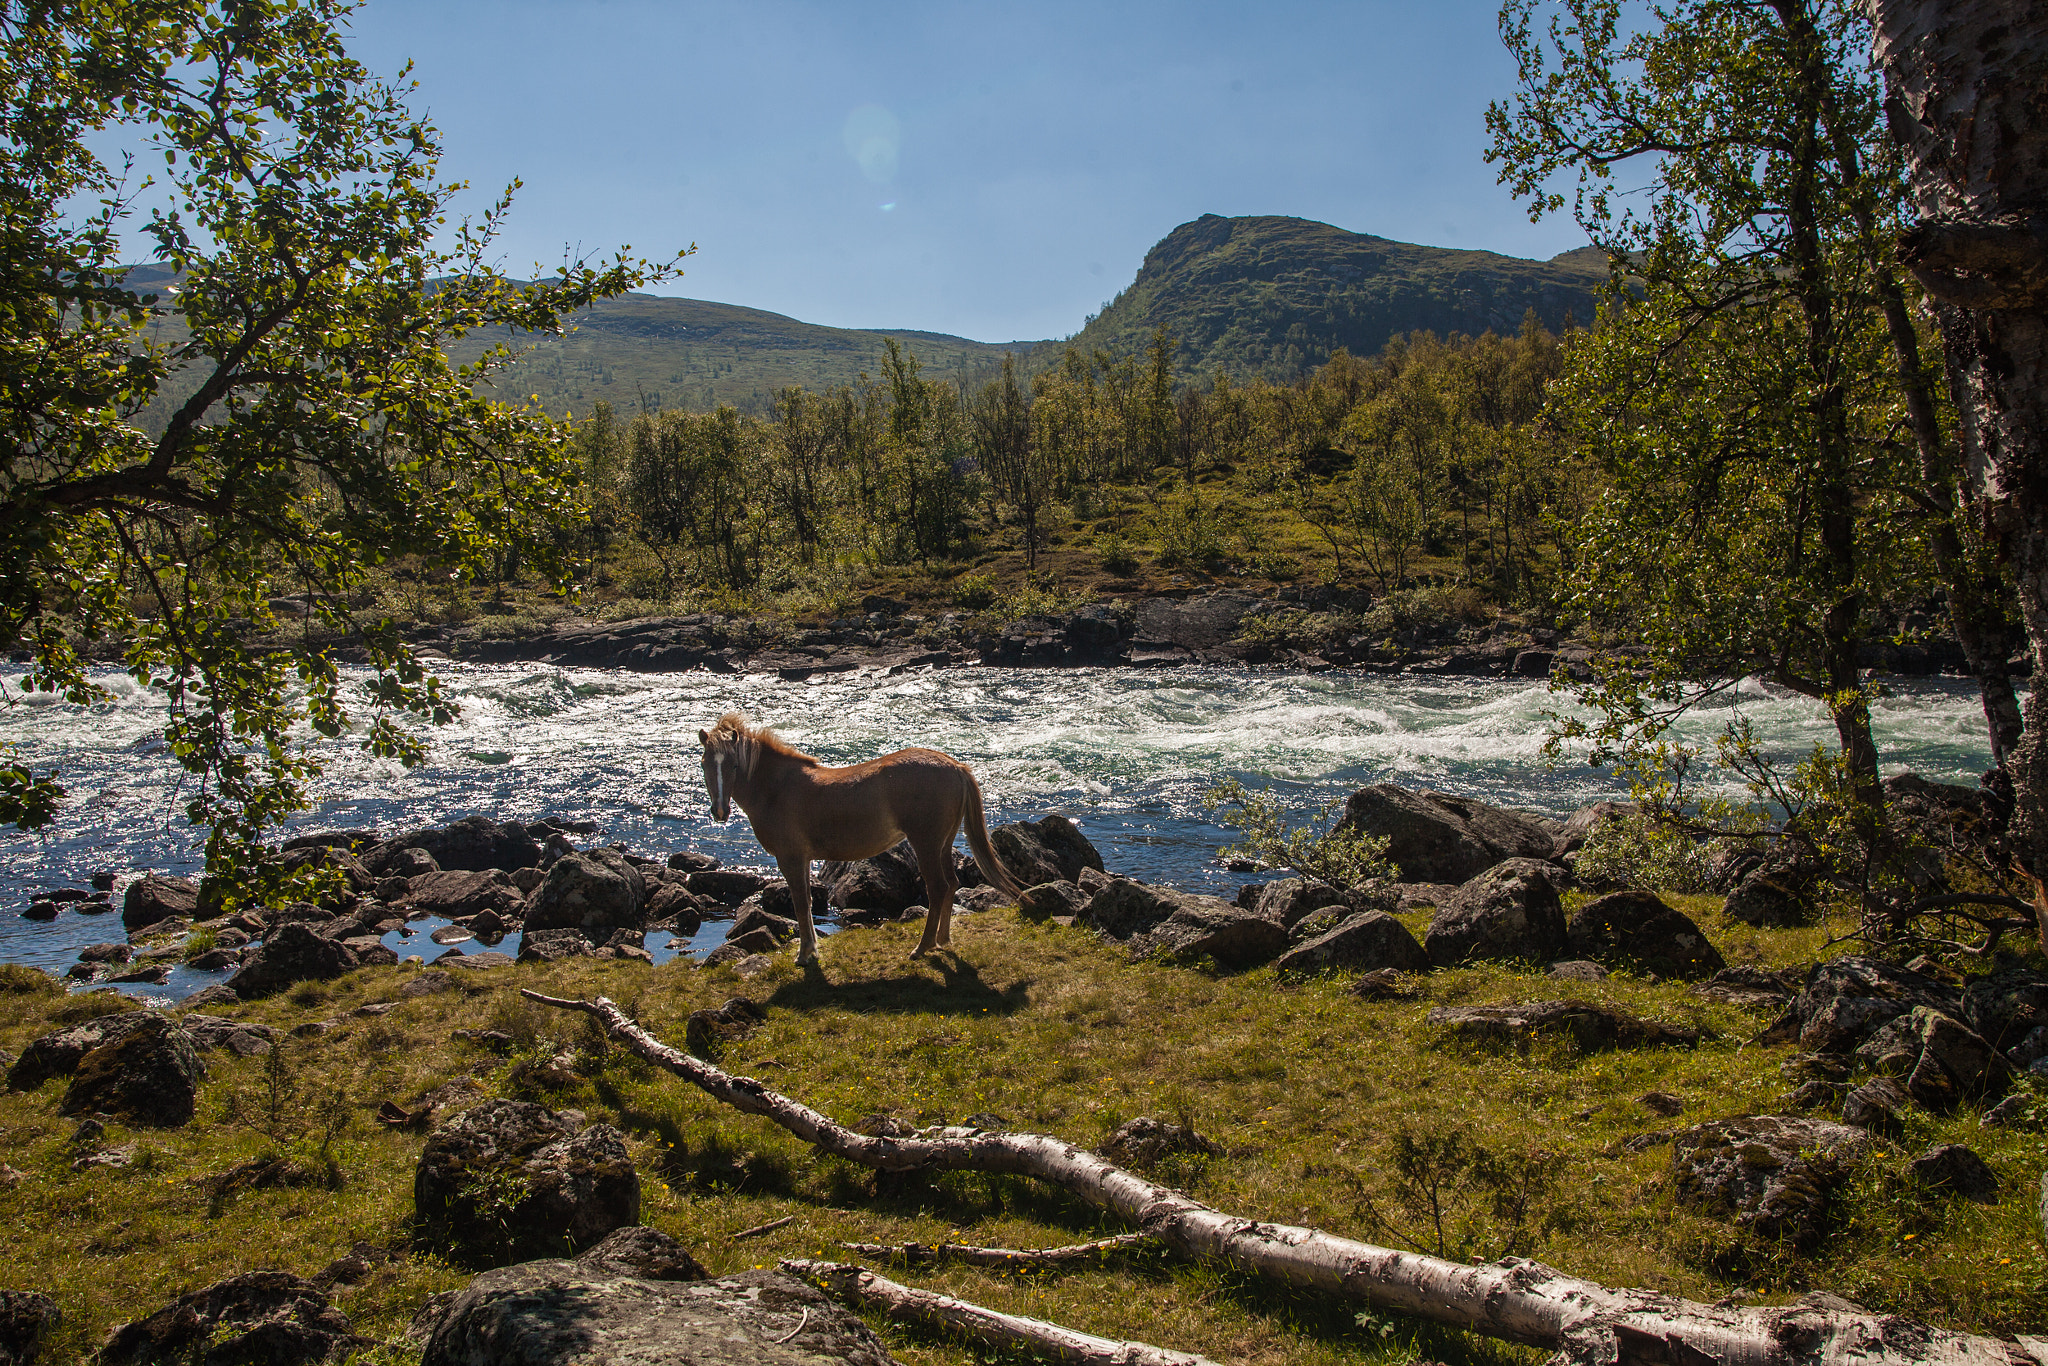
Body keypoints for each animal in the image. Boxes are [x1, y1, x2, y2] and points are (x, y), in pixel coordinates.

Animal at [700, 716, 1024, 962]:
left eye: (732, 765)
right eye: (704, 764)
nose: (719, 811)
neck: (778, 789)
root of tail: (955, 767)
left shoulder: (790, 857)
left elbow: (801, 903)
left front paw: (805, 955)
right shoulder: (801, 859)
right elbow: (806, 901)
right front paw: (811, 950)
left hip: (926, 844)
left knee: (938, 889)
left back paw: (922, 948)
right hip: (943, 844)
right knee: (952, 885)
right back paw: (942, 940)